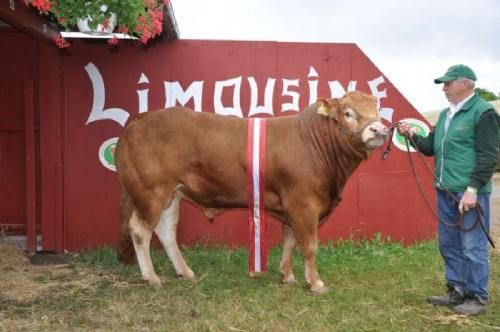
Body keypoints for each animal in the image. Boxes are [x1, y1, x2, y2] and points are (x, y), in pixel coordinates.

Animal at [115, 91, 388, 294]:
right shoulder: (304, 205)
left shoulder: (292, 207)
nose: (379, 130)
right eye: (348, 112)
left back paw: (185, 271)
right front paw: (316, 283)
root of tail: (142, 117)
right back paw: (152, 277)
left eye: (378, 109)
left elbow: (289, 241)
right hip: (151, 191)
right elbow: (309, 245)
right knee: (140, 231)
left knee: (166, 231)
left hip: (172, 194)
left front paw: (287, 276)